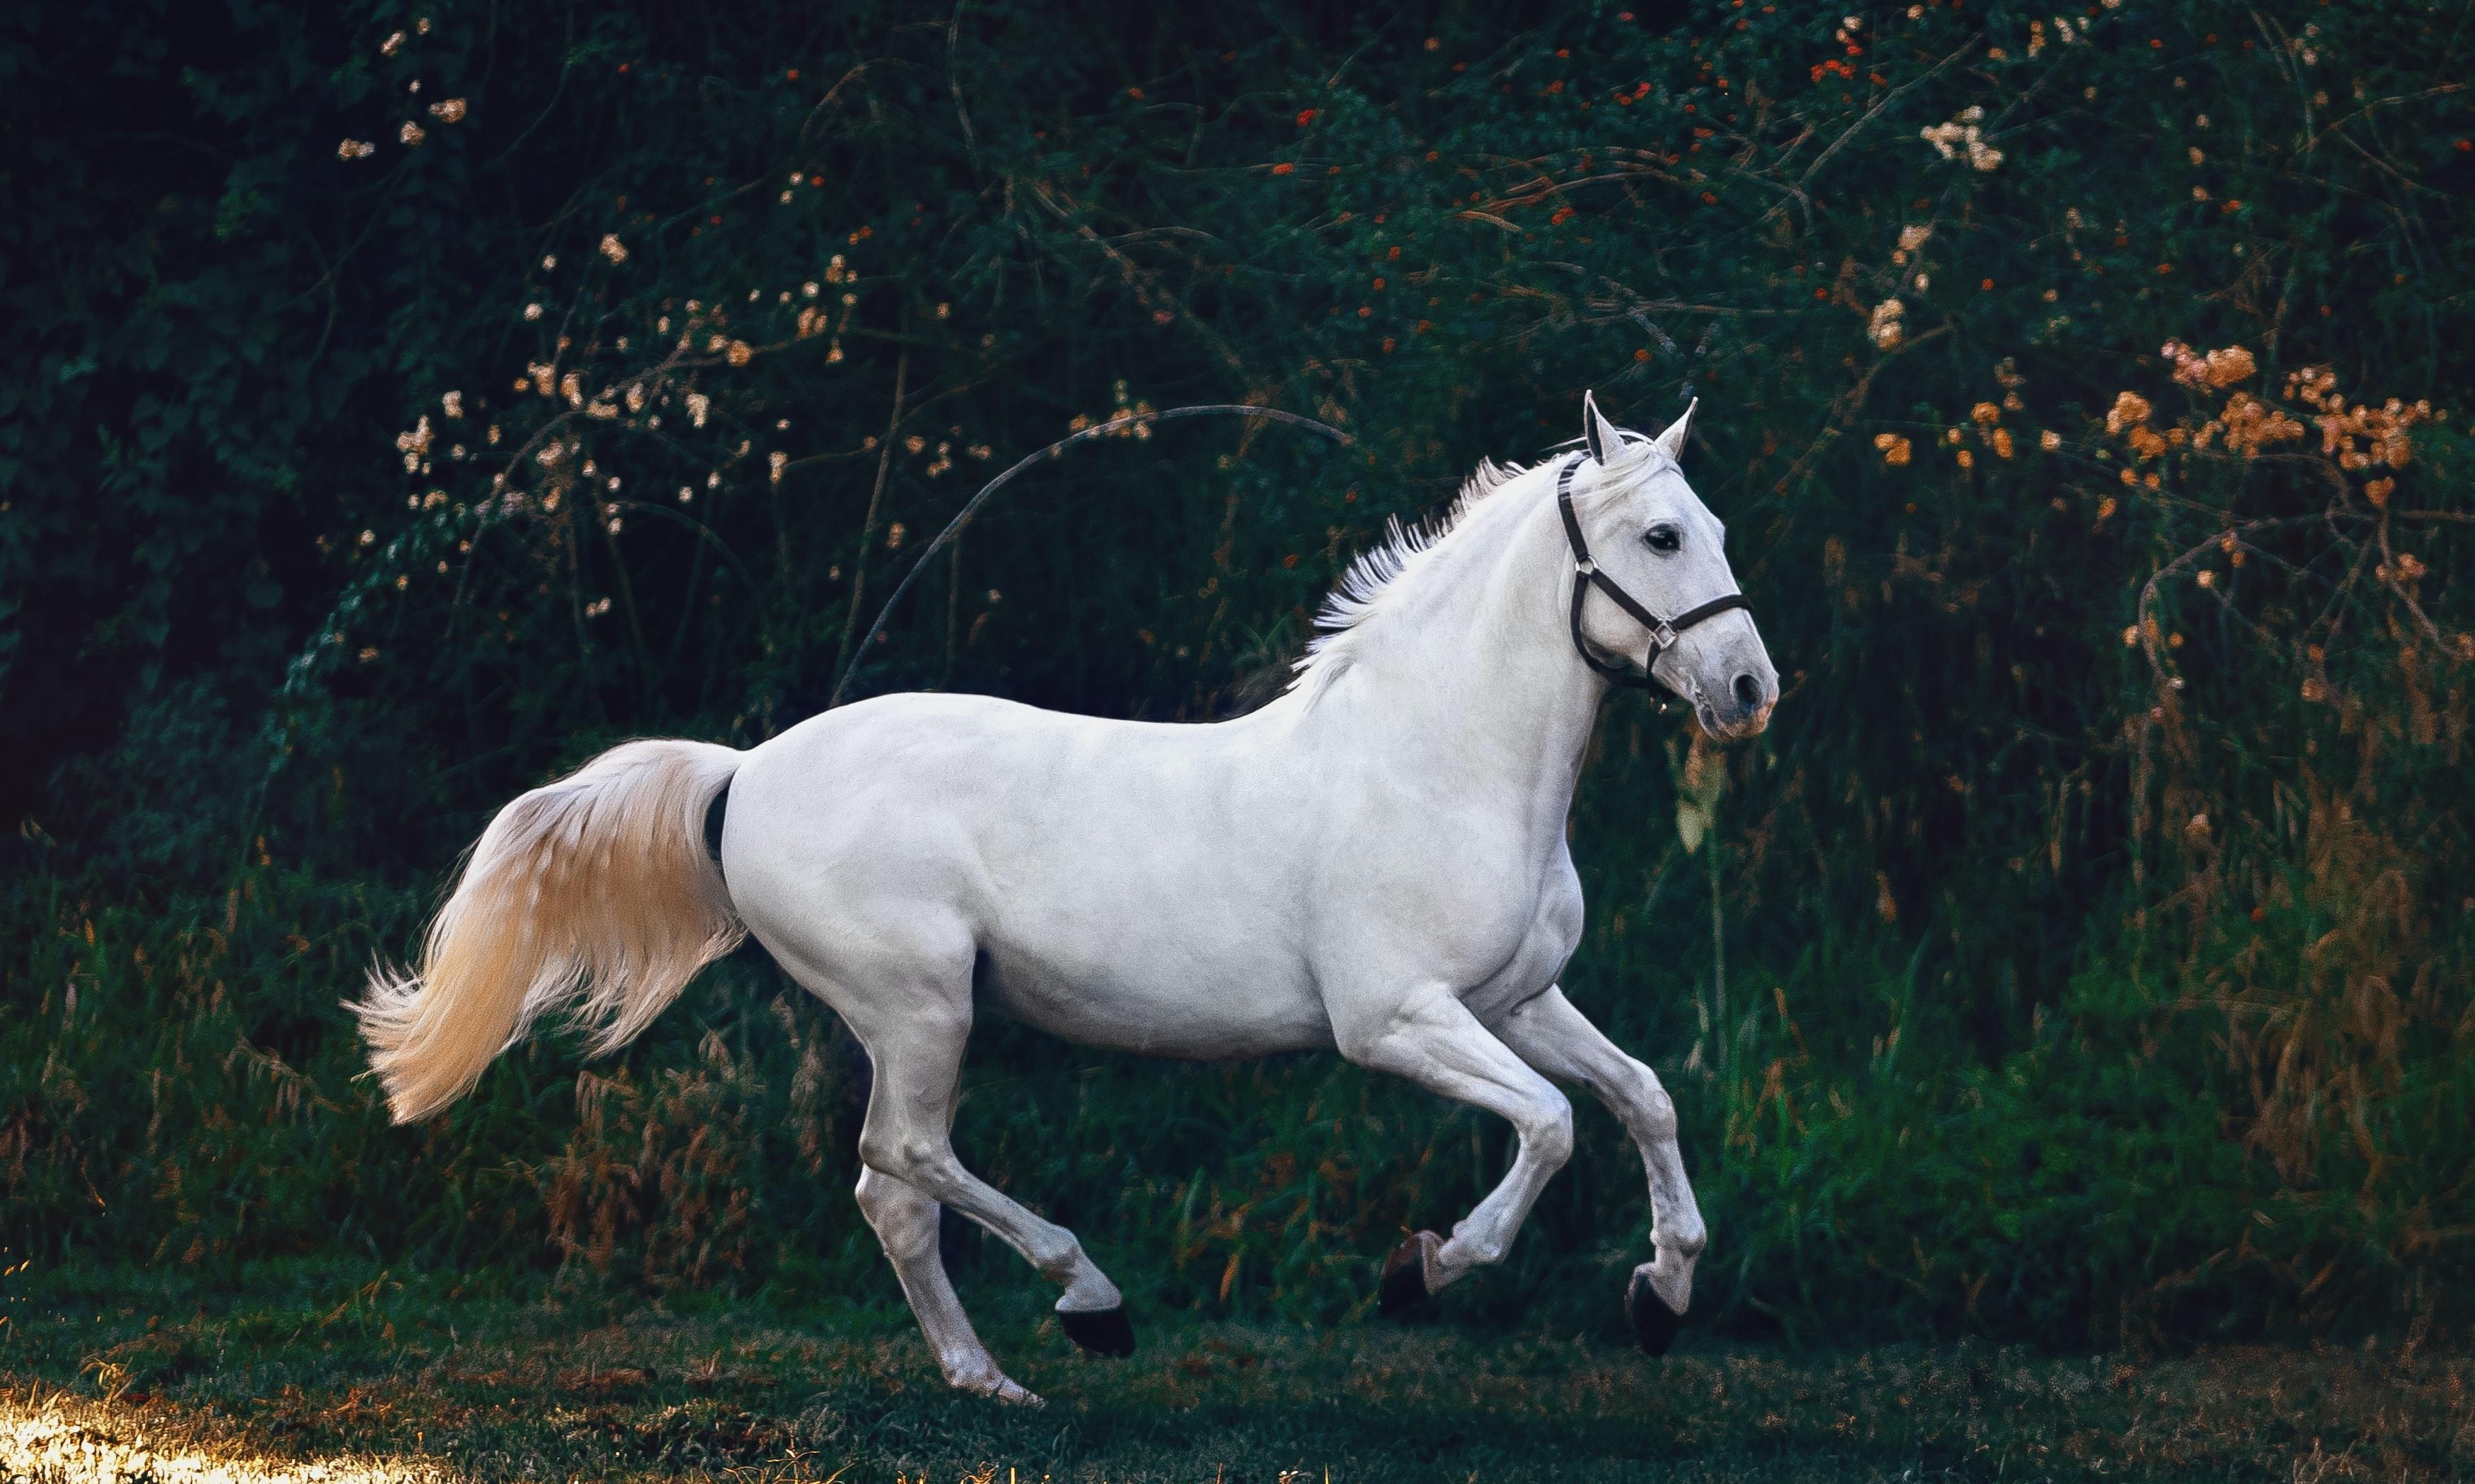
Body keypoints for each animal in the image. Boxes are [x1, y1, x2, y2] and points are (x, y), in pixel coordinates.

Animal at [353, 393, 1782, 1405]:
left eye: (1716, 532)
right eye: (1661, 536)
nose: (1749, 690)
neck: (1435, 762)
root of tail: (745, 771)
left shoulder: (1518, 998)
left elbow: (1641, 1097)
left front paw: (1660, 1296)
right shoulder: (1395, 1021)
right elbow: (1549, 1126)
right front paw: (1421, 1270)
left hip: (914, 1019)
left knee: (890, 1194)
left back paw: (990, 1379)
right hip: (920, 1007)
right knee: (905, 1162)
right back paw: (1088, 1303)